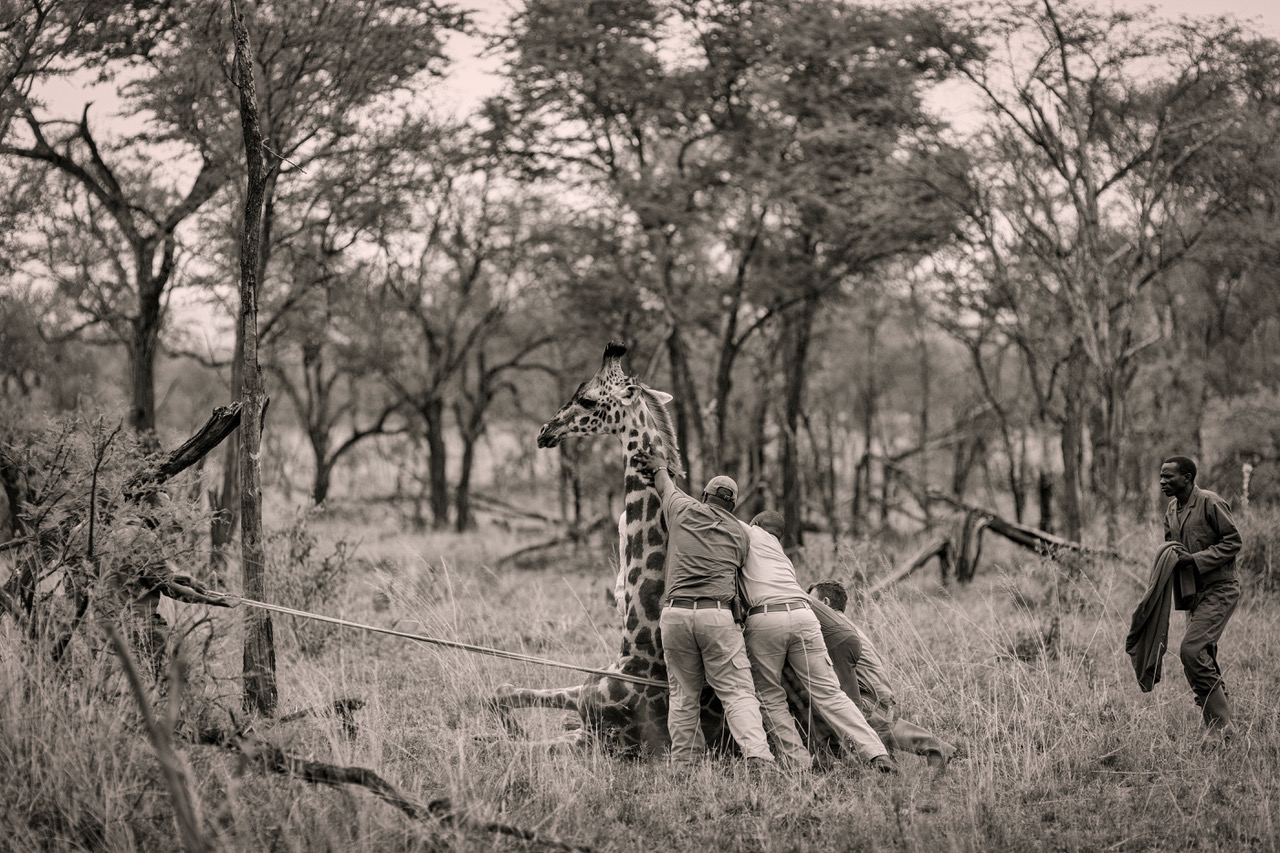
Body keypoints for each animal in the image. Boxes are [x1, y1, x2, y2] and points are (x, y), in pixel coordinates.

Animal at [486, 338, 732, 753]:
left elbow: (501, 732)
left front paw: (504, 734)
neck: (640, 649)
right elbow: (501, 691)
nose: (544, 431)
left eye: (586, 399)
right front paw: (511, 727)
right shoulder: (586, 701)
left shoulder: (602, 737)